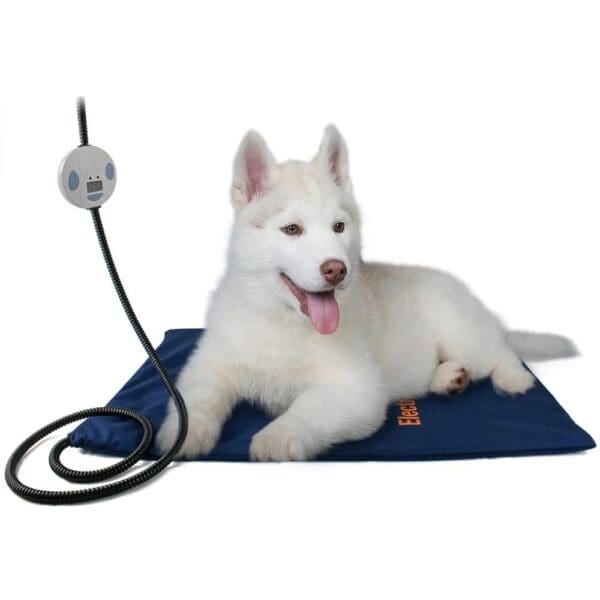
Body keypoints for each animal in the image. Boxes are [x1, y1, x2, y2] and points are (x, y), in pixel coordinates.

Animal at [156, 125, 576, 460]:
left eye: (339, 227)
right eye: (292, 229)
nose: (336, 269)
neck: (280, 320)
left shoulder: (356, 388)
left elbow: (307, 410)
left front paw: (276, 439)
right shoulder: (209, 365)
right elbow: (197, 400)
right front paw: (183, 436)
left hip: (460, 329)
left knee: (499, 352)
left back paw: (512, 379)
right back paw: (446, 378)